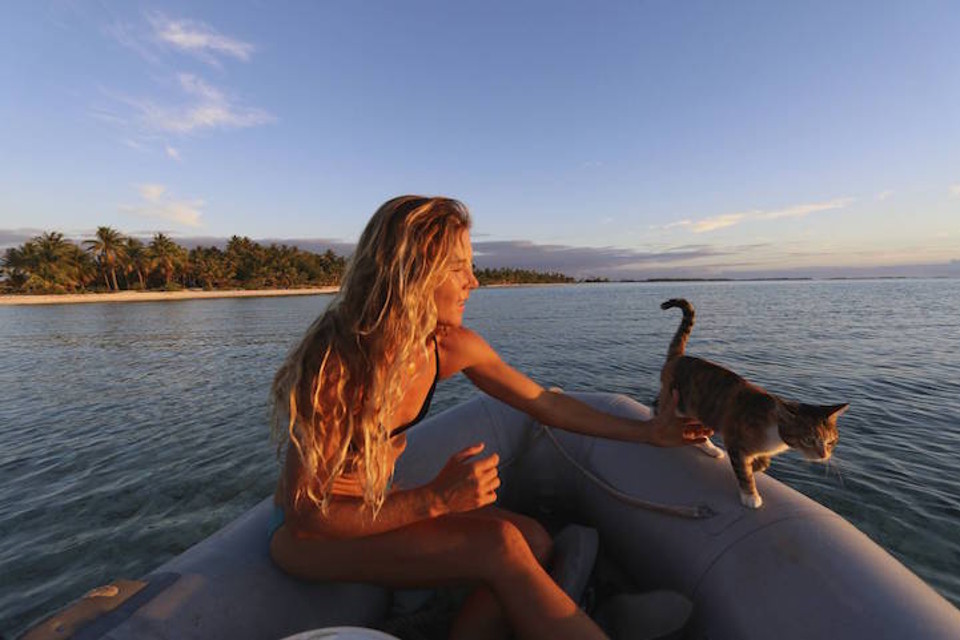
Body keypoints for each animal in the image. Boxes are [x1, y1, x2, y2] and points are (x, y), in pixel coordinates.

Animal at [660, 298, 848, 510]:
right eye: (808, 439)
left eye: (831, 441)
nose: (824, 455)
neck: (775, 432)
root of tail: (678, 357)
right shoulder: (735, 439)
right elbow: (743, 471)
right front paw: (750, 495)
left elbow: (760, 463)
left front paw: (758, 465)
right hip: (677, 400)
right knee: (658, 408)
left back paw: (711, 449)